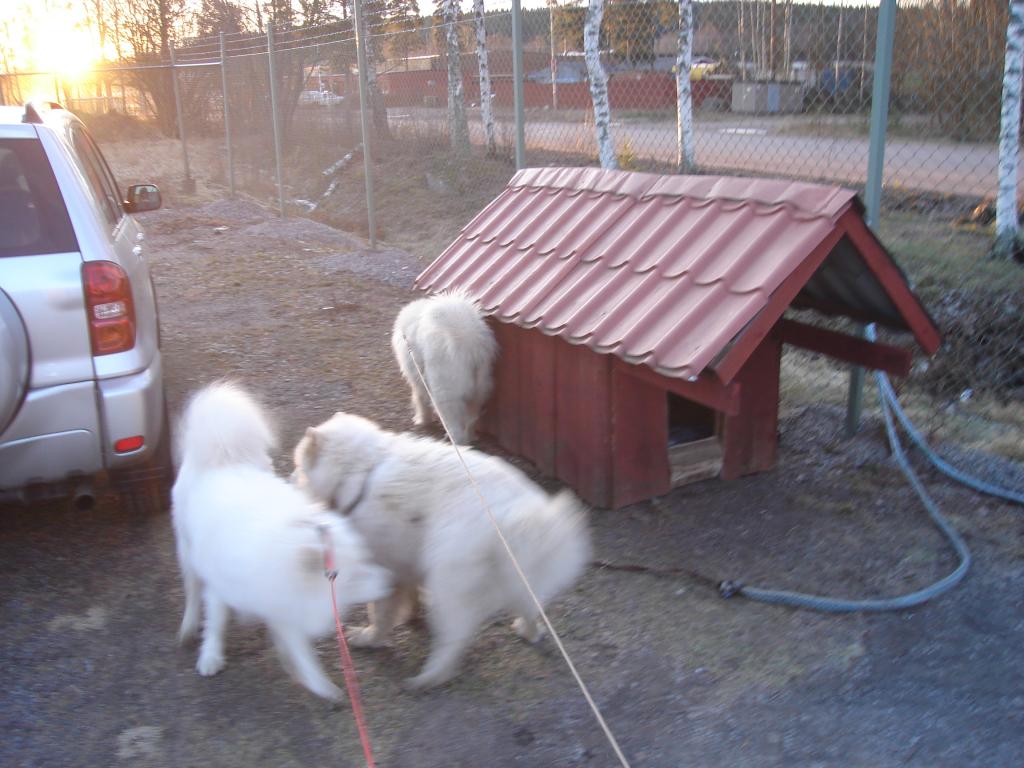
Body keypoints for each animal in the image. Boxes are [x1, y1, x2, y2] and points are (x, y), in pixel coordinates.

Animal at [171, 382, 391, 700]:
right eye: (355, 573)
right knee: (191, 587)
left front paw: (321, 686)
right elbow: (216, 622)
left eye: (368, 557)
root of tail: (221, 455)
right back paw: (188, 626)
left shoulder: (286, 607)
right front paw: (210, 656)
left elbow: (302, 654)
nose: (390, 580)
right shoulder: (222, 588)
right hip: (187, 549)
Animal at [292, 411, 591, 690]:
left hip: (448, 581)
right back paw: (529, 632)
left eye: (298, 467)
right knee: (529, 609)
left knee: (453, 640)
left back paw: (427, 678)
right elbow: (408, 597)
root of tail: (514, 516)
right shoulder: (407, 563)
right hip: (516, 577)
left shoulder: (387, 567)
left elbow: (381, 613)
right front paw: (411, 614)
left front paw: (369, 637)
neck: (363, 473)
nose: (290, 476)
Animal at [391, 291, 498, 445]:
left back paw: (455, 440)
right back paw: (470, 437)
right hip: (479, 390)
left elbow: (420, 398)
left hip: (445, 391)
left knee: (454, 422)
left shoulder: (416, 376)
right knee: (471, 417)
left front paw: (422, 420)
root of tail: (469, 345)